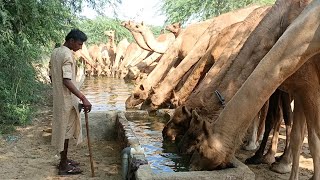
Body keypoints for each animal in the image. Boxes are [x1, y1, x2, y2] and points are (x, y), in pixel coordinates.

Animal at [189, 1, 318, 179]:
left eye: (199, 145)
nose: (191, 166)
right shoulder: (297, 87)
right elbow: (296, 134)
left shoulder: (308, 85)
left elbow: (312, 139)